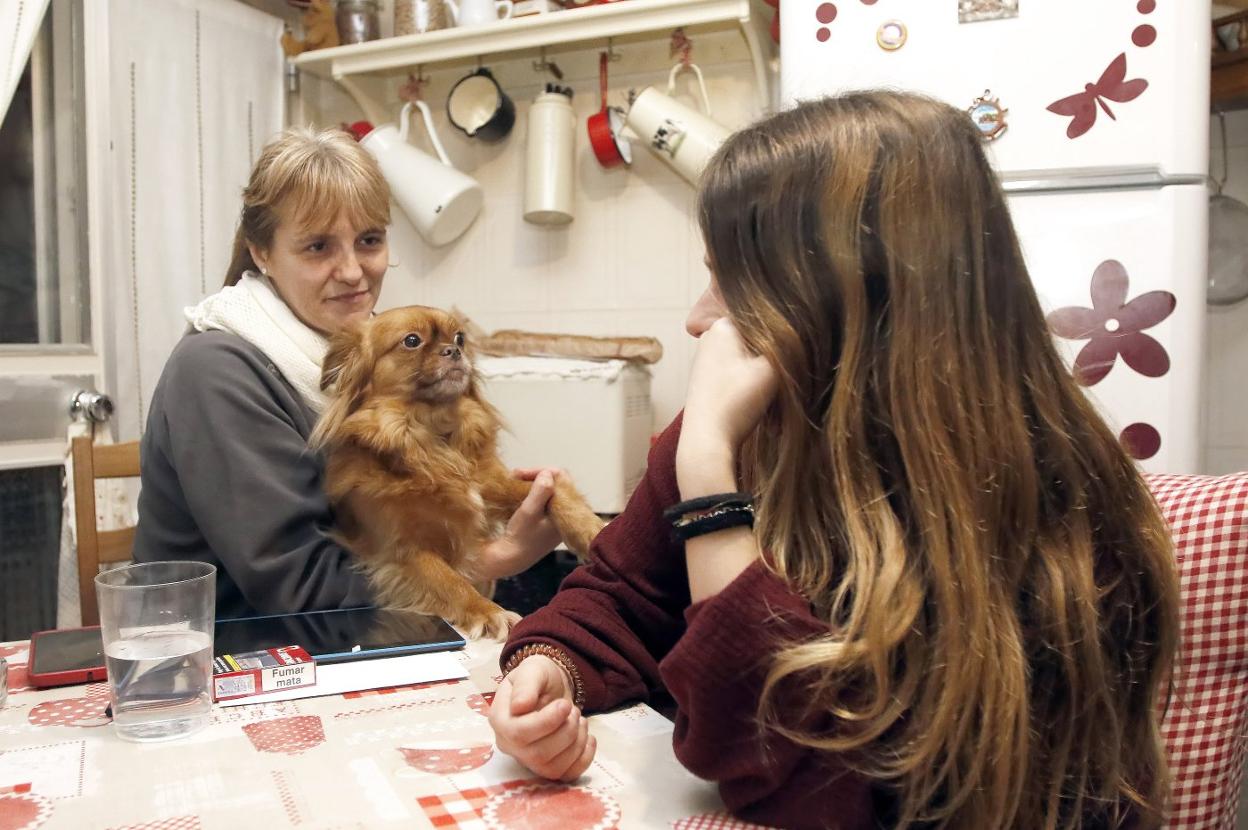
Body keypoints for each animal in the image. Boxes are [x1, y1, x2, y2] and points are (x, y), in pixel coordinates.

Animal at [310, 307, 604, 636]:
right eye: (412, 341)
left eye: (460, 338)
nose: (454, 350)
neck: (434, 437)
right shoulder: (399, 552)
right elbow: (449, 581)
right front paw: (488, 612)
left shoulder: (494, 486)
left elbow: (557, 492)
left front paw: (591, 529)